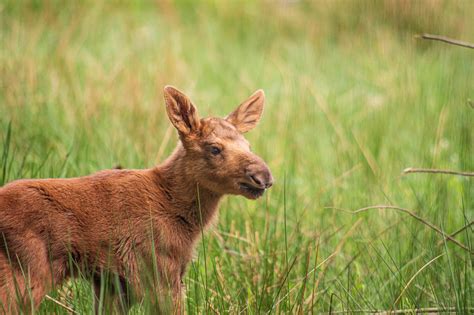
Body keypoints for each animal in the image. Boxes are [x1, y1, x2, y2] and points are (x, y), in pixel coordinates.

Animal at [0, 86, 274, 314]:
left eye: (248, 145)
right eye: (214, 148)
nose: (264, 177)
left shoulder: (112, 281)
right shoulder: (156, 268)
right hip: (25, 271)